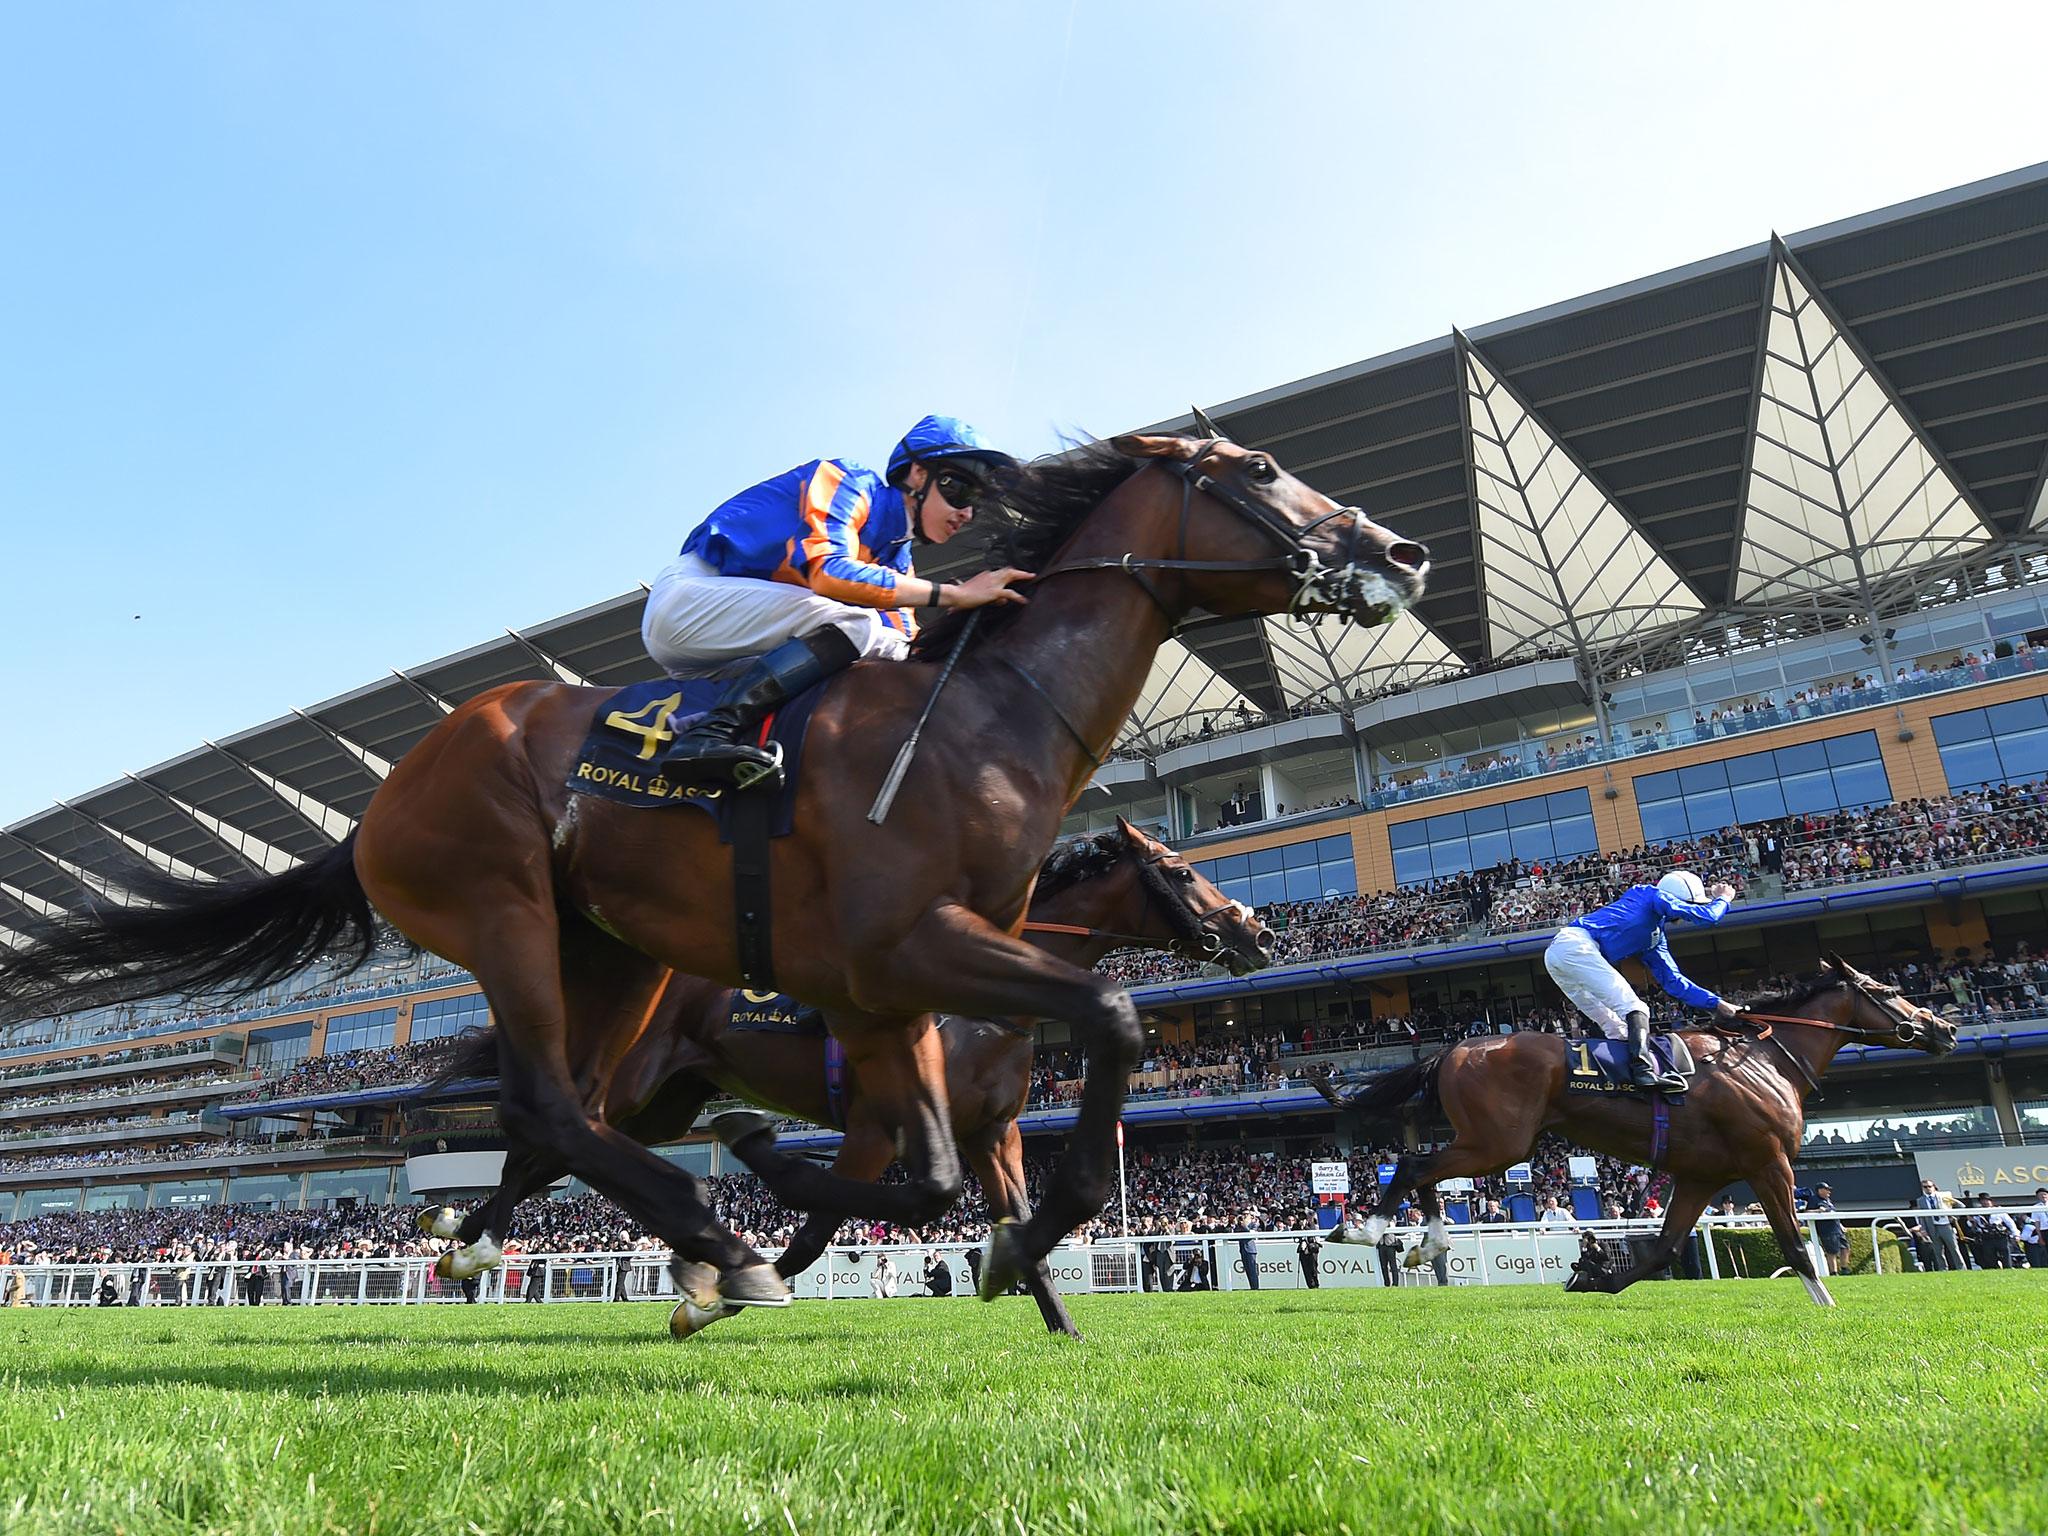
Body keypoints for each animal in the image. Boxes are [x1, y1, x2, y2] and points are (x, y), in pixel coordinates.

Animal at [423, 819, 1269, 1335]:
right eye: (1183, 872)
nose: (1254, 928)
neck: (977, 1006)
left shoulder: (993, 1133)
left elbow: (1023, 1226)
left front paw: (1065, 1326)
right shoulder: (874, 1127)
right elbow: (813, 1234)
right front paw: (709, 1297)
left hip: (660, 1106)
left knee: (554, 1152)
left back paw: (464, 1239)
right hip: (632, 1087)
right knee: (543, 1145)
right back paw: (465, 1240)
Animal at [1318, 962, 1957, 1310]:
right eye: (1885, 990)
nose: (1945, 1029)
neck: (1764, 1058)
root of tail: (1451, 1049)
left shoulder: (1700, 1175)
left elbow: (1665, 1249)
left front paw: (1594, 1274)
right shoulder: (1768, 1162)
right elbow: (1794, 1240)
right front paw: (1826, 1303)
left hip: (1491, 1142)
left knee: (1420, 1165)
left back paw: (1425, 1242)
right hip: (1502, 1144)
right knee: (1411, 1164)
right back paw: (1370, 1229)